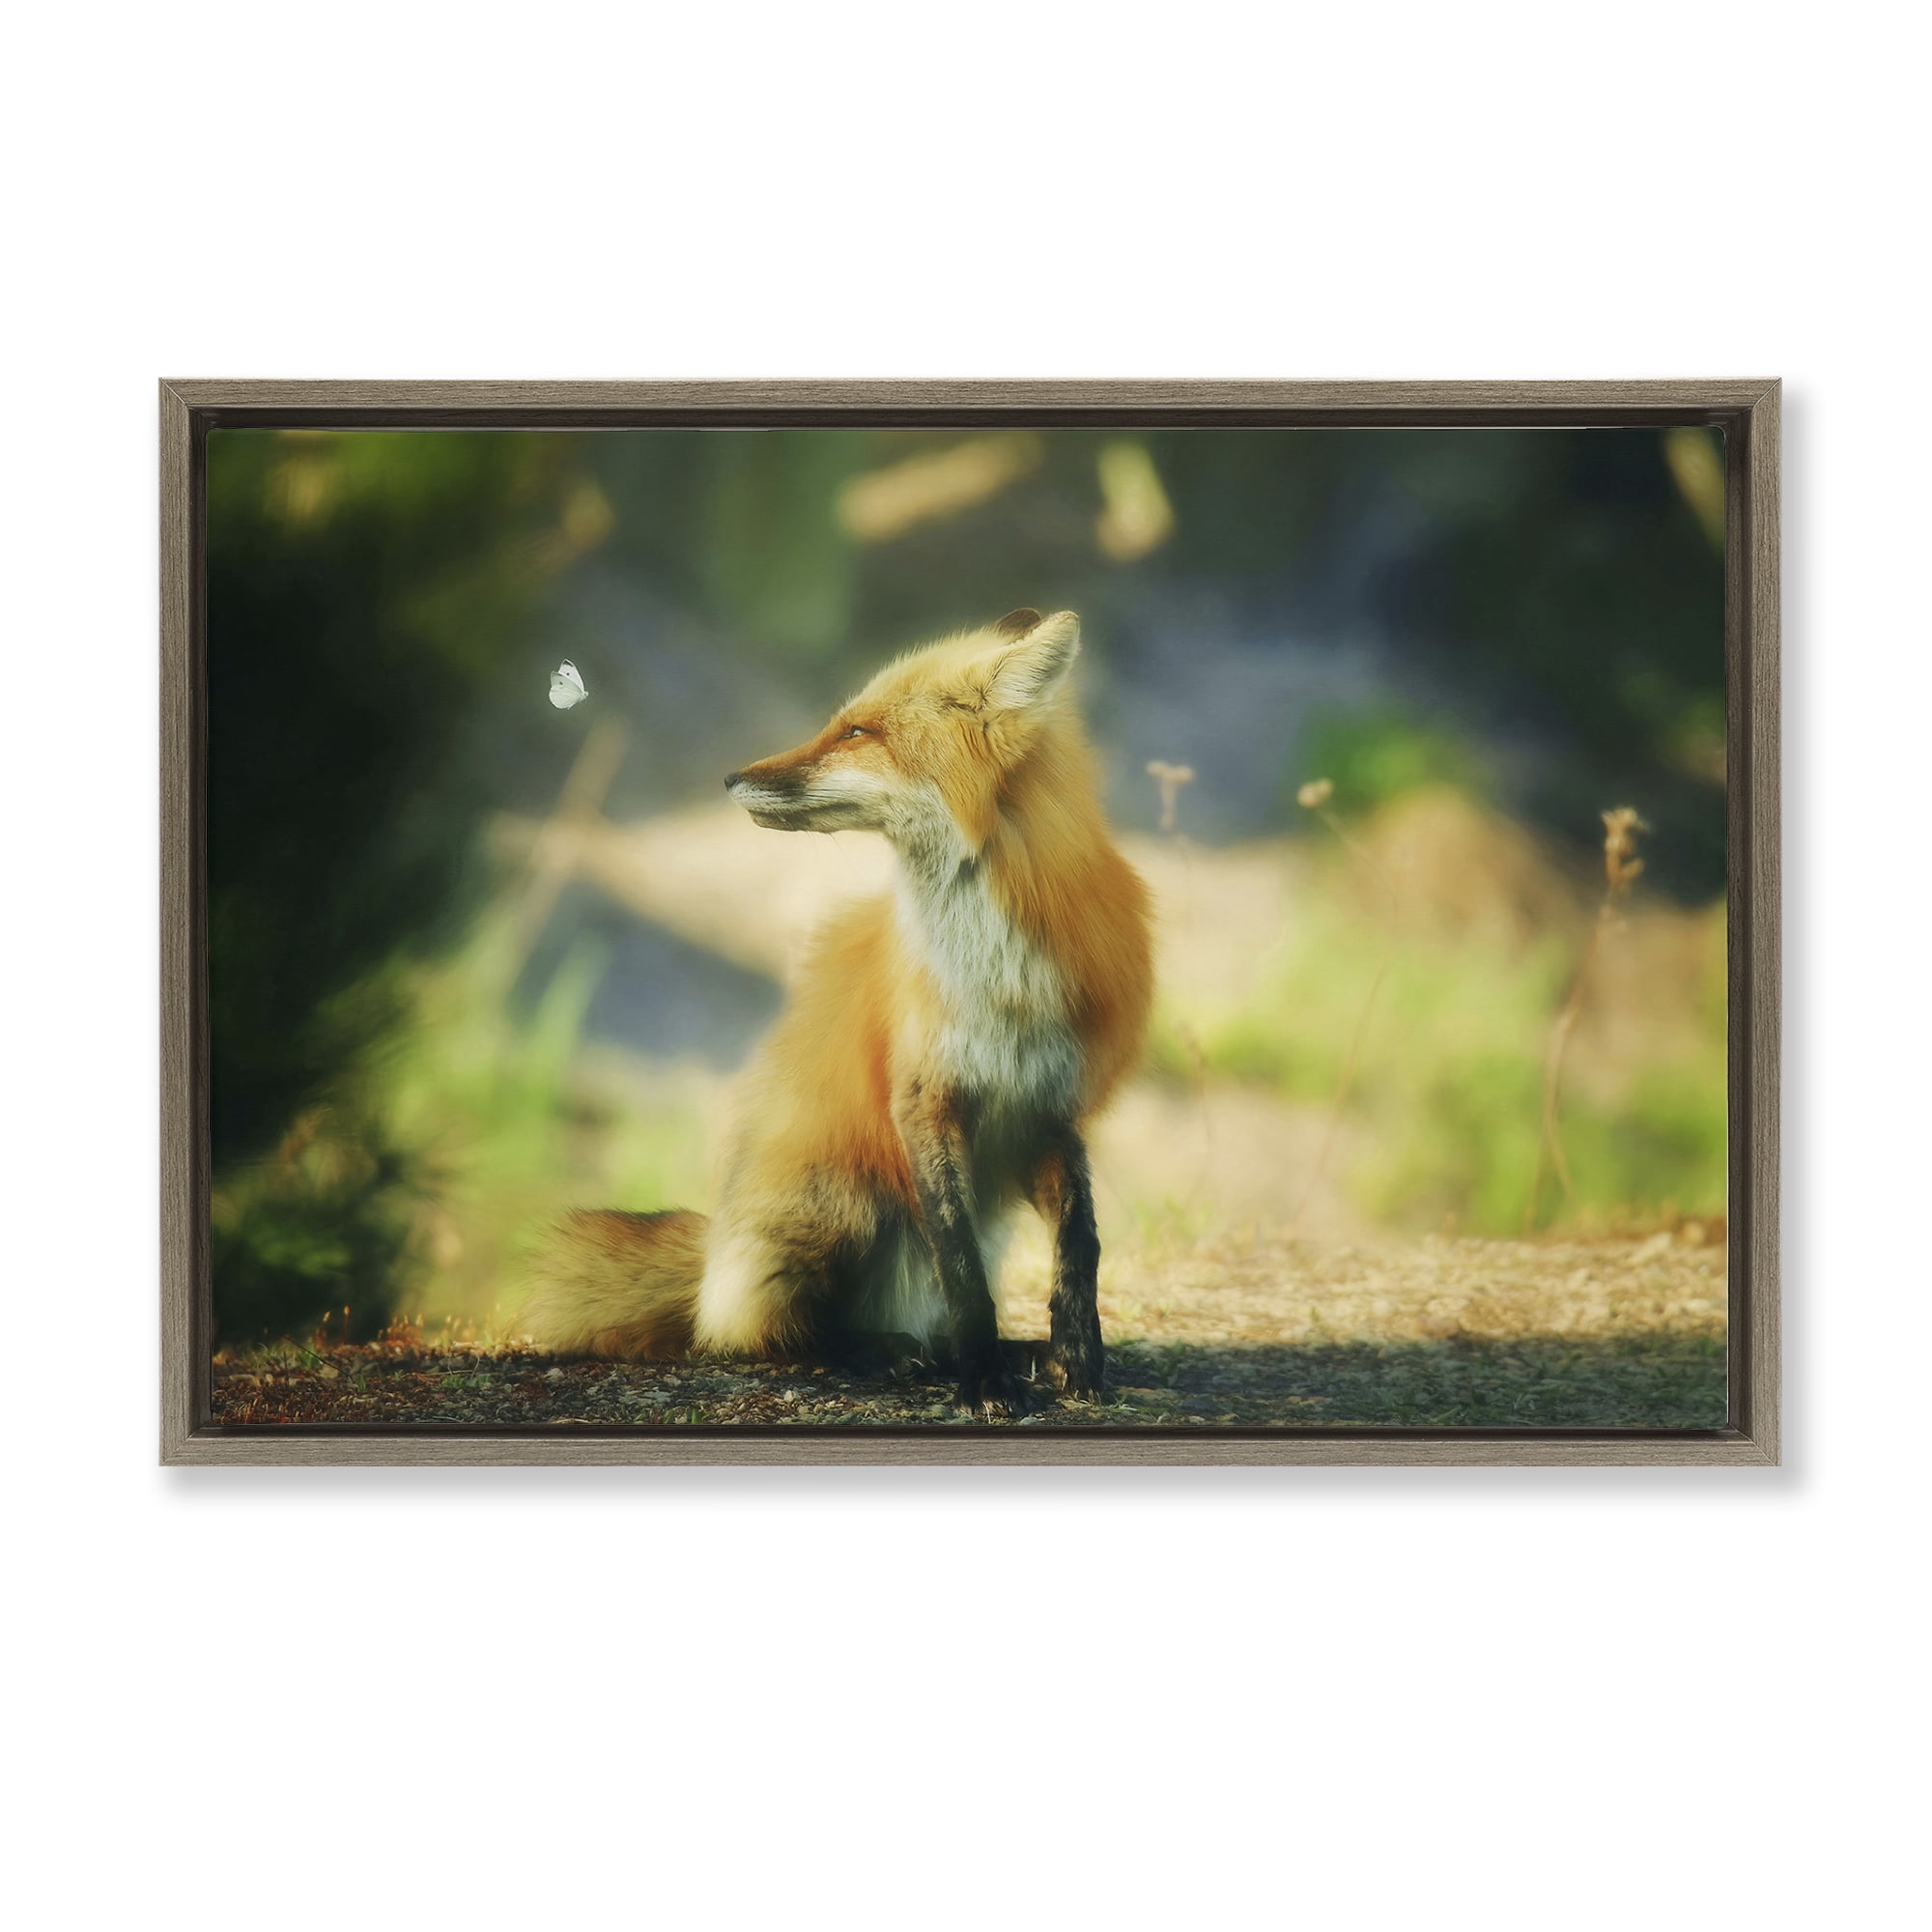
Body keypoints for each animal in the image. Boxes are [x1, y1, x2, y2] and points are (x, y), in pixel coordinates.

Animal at [519, 608, 1153, 1416]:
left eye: (857, 732)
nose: (729, 778)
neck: (995, 977)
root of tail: (715, 1258)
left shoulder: (1049, 1106)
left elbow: (1080, 1243)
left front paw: (1077, 1357)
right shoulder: (922, 1099)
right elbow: (963, 1271)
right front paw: (984, 1381)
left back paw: (996, 1352)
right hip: (847, 1197)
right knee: (773, 1333)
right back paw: (881, 1350)